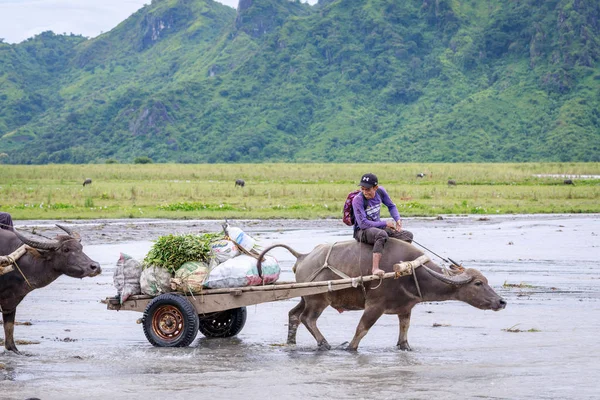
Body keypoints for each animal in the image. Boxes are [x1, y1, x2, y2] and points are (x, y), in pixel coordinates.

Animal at [0, 225, 101, 354]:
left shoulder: (11, 301)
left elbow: (9, 327)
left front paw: (14, 350)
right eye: (66, 249)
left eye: (80, 248)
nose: (95, 267)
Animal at [258, 239, 506, 352]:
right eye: (478, 283)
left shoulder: (405, 308)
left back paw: (291, 343)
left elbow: (404, 330)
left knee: (294, 315)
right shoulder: (374, 307)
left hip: (305, 297)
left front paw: (405, 347)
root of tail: (303, 256)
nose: (501, 301)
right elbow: (362, 329)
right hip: (318, 300)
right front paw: (350, 348)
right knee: (307, 318)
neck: (410, 272)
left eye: (485, 281)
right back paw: (325, 344)